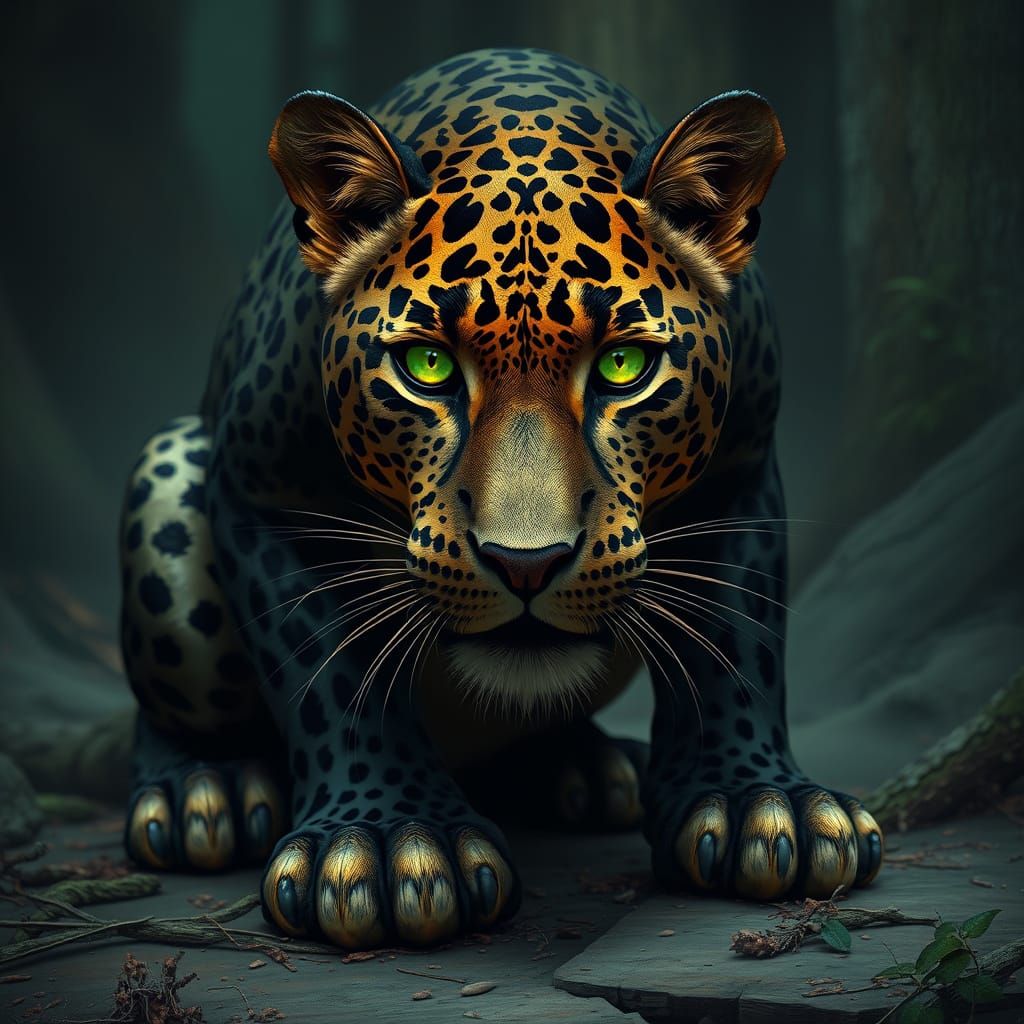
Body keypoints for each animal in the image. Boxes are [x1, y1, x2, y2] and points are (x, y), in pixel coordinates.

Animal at [119, 47, 883, 950]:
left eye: (624, 365)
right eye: (428, 367)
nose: (527, 564)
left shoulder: (742, 461)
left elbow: (739, 640)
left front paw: (759, 802)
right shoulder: (262, 489)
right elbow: (328, 668)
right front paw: (385, 839)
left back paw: (589, 768)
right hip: (173, 463)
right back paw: (206, 790)